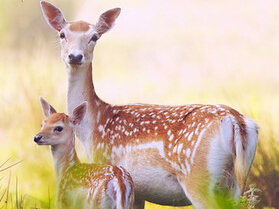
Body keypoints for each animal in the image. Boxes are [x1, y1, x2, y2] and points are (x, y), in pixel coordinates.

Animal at [40, 1, 260, 207]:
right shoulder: (139, 192)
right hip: (235, 182)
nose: (75, 56)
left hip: (199, 178)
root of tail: (236, 121)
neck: (92, 127)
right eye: (62, 34)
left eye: (94, 36)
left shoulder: (105, 161)